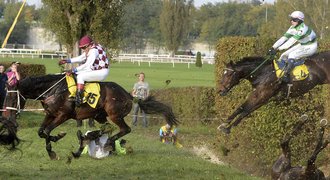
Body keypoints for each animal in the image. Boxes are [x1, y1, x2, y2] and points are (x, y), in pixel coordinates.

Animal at [2, 74, 178, 160]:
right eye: (6, 97)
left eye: (12, 98)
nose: (8, 118)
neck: (53, 90)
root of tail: (129, 95)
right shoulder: (50, 114)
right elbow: (41, 132)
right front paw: (52, 153)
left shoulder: (63, 115)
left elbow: (47, 132)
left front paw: (58, 137)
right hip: (101, 116)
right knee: (107, 128)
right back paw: (91, 141)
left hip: (114, 114)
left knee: (124, 129)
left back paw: (107, 143)